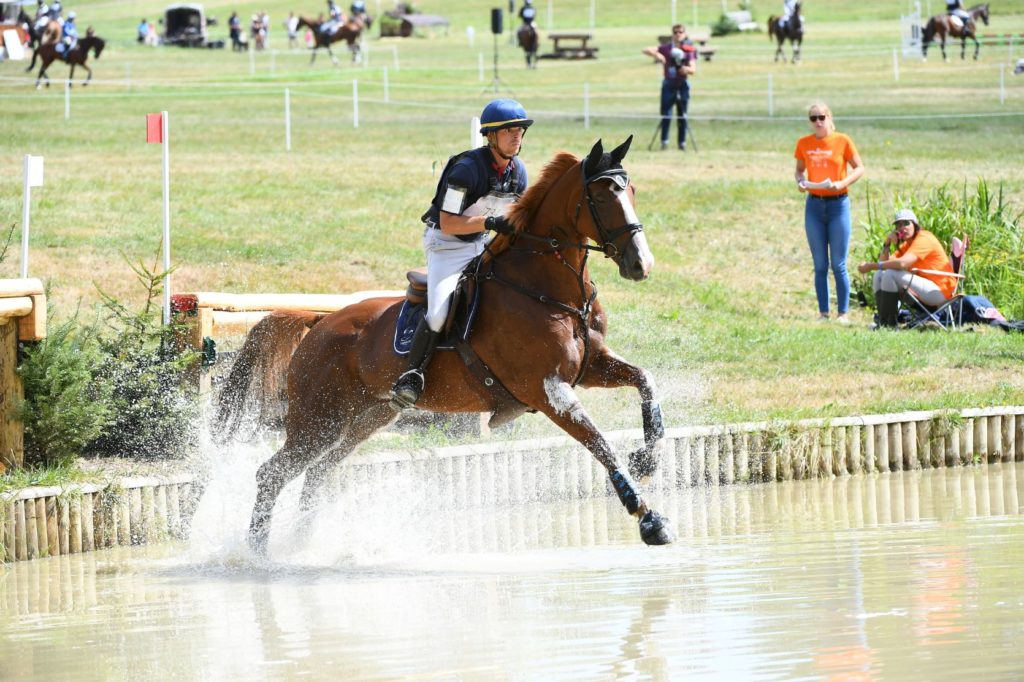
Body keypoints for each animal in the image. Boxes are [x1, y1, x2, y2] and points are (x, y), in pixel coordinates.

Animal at [218, 137, 671, 552]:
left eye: (632, 191)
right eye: (602, 196)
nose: (641, 265)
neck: (547, 289)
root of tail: (319, 322)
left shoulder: (590, 367)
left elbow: (645, 382)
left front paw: (648, 459)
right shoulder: (546, 390)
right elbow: (600, 443)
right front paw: (649, 520)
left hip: (369, 416)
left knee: (317, 472)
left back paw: (302, 545)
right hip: (317, 420)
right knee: (272, 473)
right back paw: (258, 553)